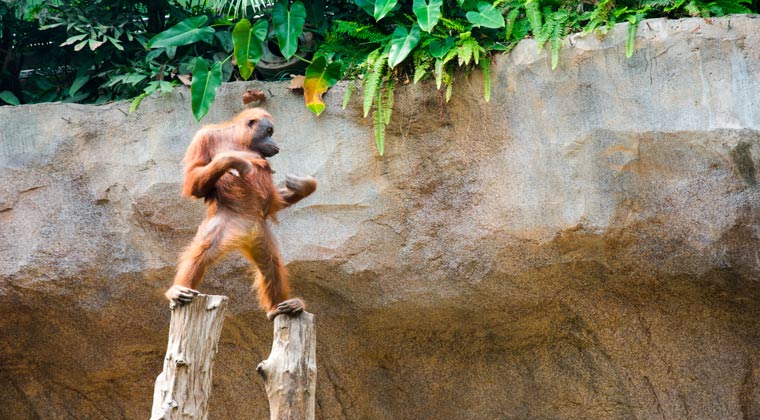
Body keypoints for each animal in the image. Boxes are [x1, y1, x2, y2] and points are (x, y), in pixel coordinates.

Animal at [164, 108, 316, 320]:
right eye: (269, 131)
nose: (275, 143)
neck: (238, 141)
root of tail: (242, 235)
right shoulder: (203, 138)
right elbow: (193, 179)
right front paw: (236, 160)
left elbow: (273, 198)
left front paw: (305, 186)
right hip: (223, 225)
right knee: (202, 251)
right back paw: (178, 290)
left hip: (259, 233)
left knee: (270, 264)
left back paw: (283, 306)